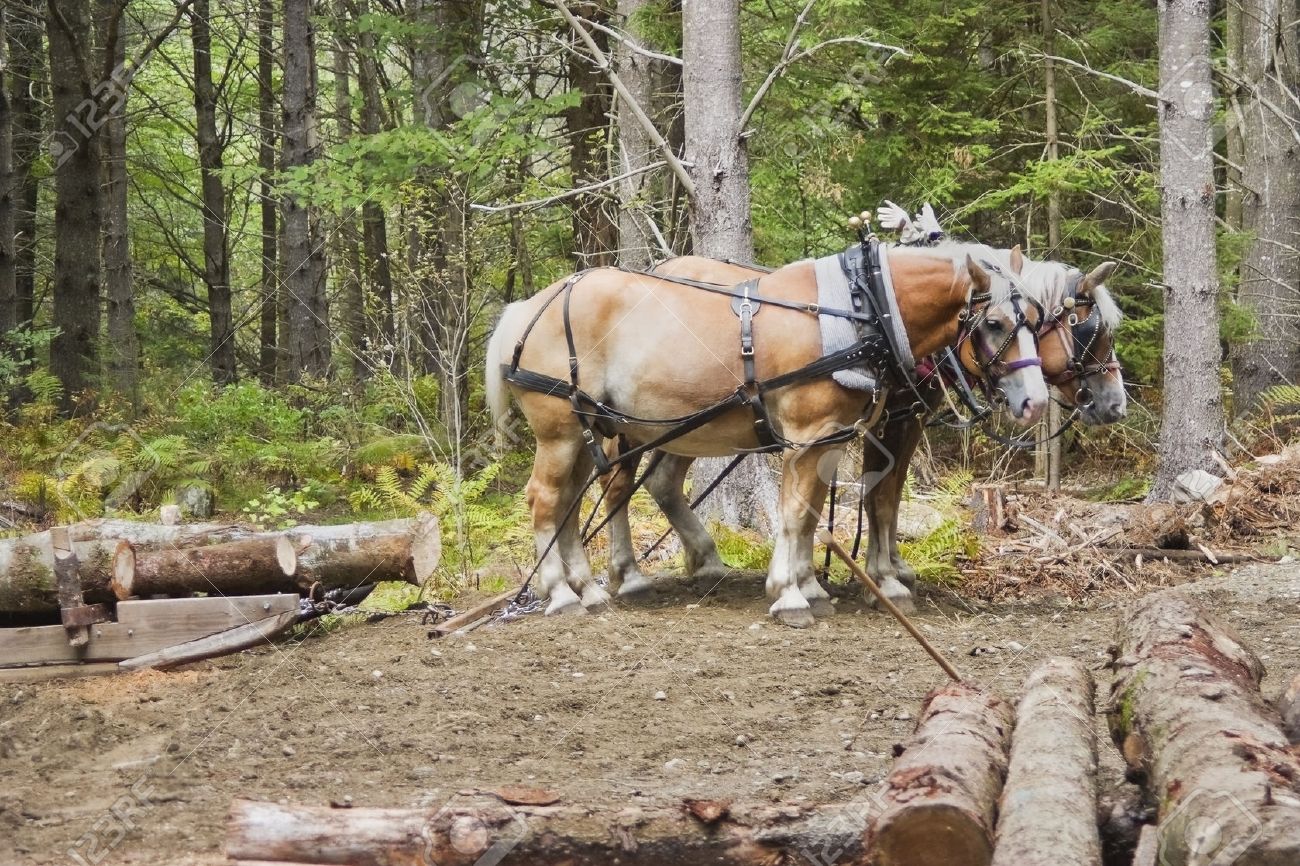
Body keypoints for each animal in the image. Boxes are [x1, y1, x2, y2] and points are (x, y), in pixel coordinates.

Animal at [483, 240, 1050, 621]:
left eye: (1038, 320)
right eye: (995, 323)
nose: (1036, 401)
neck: (858, 309)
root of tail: (528, 308)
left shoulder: (831, 437)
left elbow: (813, 511)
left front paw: (809, 586)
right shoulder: (807, 434)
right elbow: (797, 512)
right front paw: (791, 593)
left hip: (592, 430)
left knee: (576, 500)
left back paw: (590, 588)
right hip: (561, 430)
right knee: (547, 498)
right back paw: (561, 593)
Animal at [595, 245, 1123, 613]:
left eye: (1038, 321)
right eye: (1089, 329)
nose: (1116, 404)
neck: (881, 317)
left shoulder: (888, 422)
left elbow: (871, 501)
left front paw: (855, 575)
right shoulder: (892, 422)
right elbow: (879, 499)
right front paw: (881, 579)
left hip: (690, 426)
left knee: (661, 483)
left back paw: (704, 561)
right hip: (643, 423)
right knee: (618, 485)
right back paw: (629, 575)